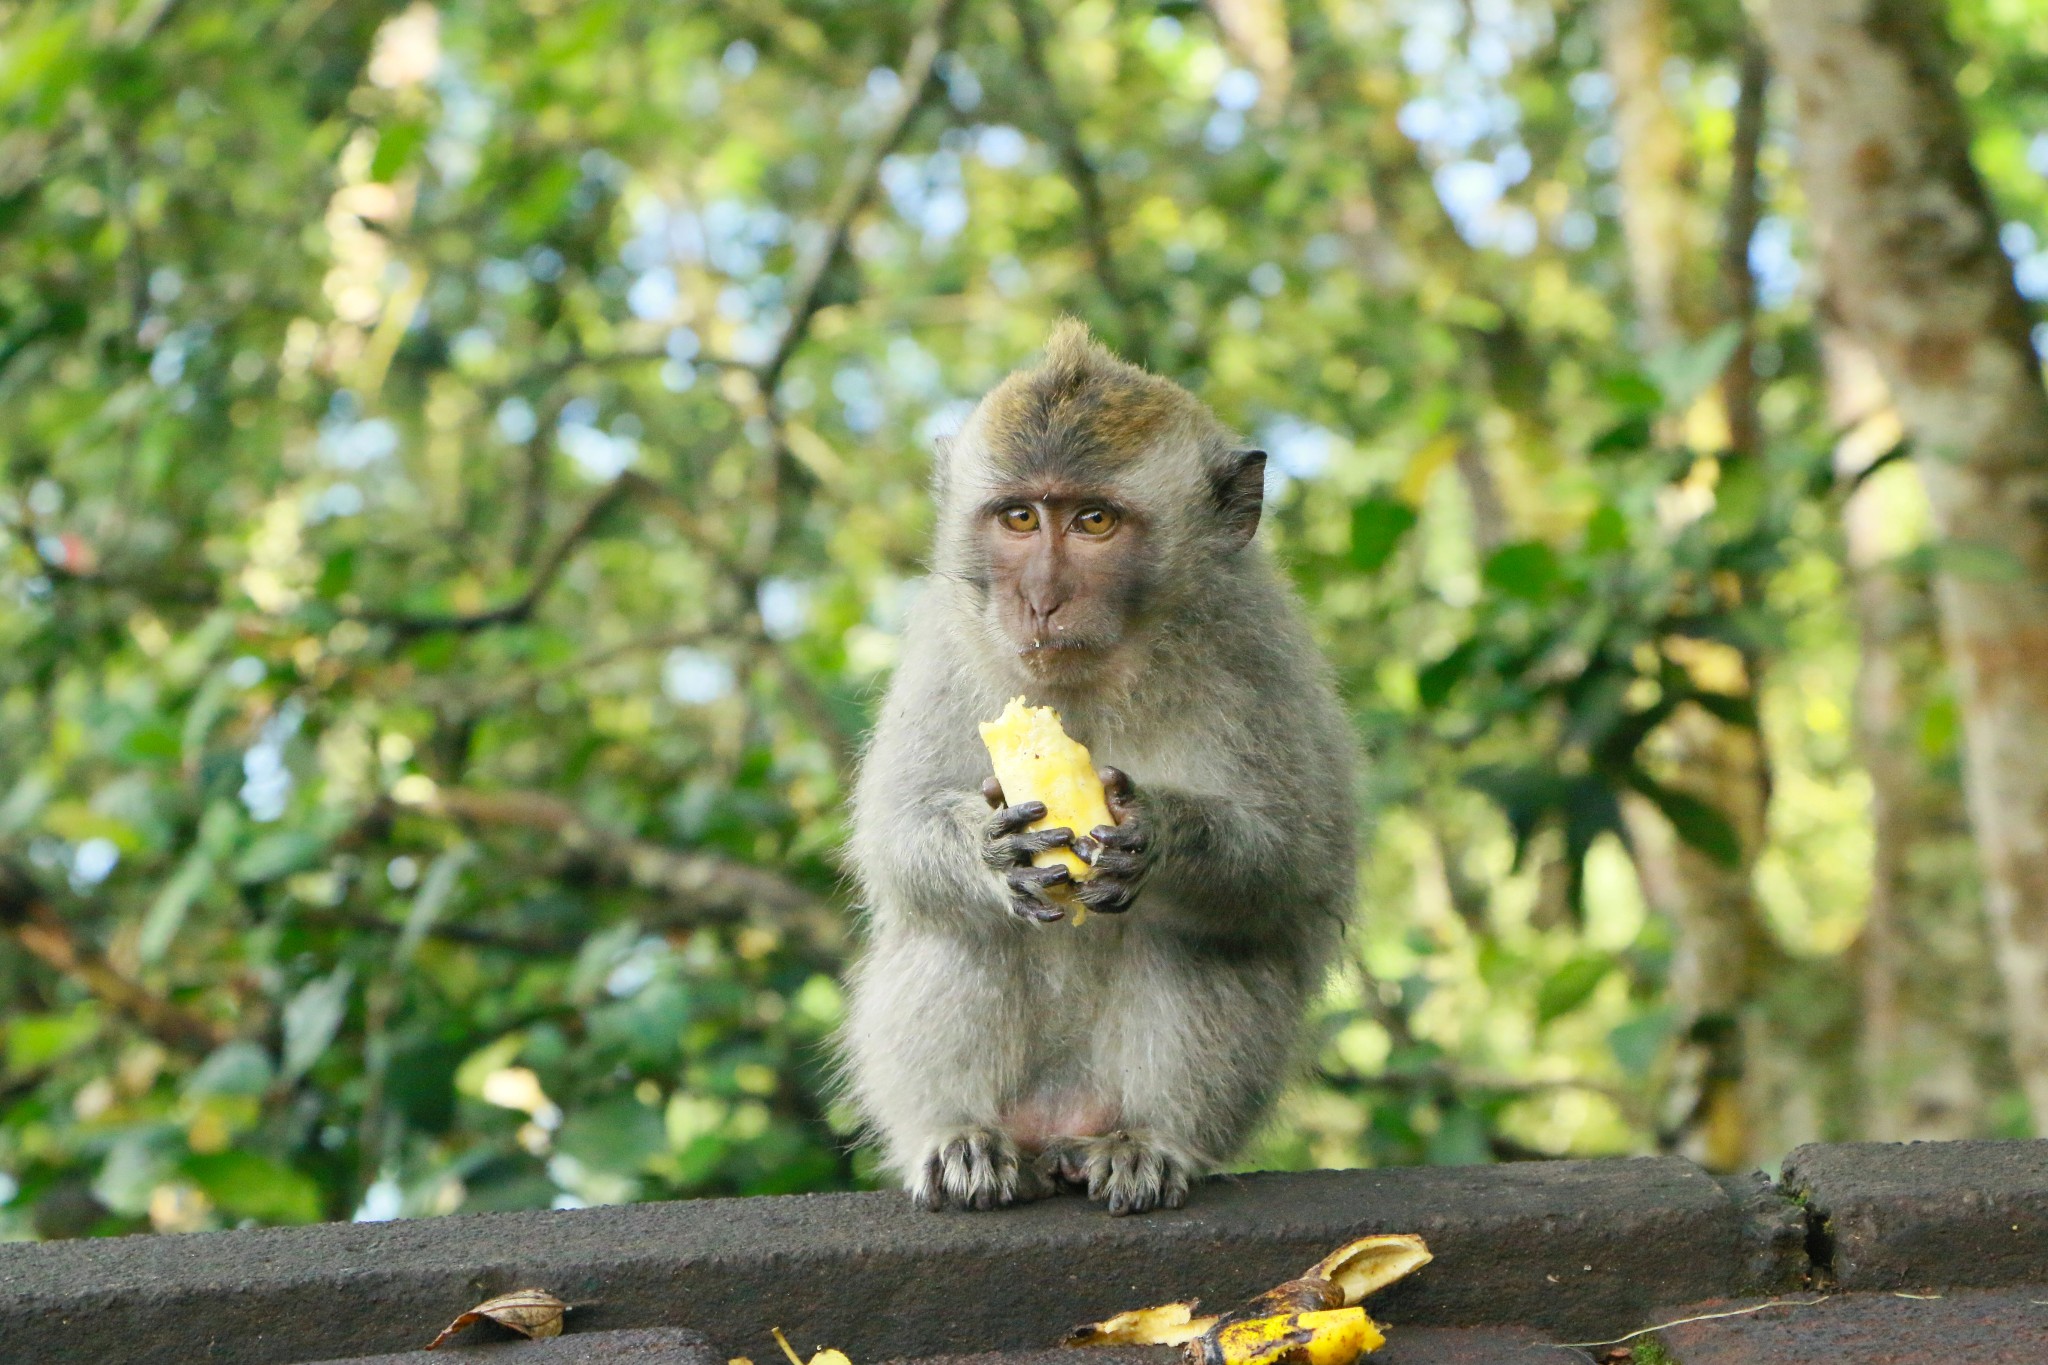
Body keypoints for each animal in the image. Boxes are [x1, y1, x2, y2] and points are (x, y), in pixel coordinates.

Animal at [839, 321, 1351, 1219]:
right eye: (1019, 517)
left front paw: (1157, 832)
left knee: (1191, 938)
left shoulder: (1256, 650)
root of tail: (1059, 1124)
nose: (1039, 598)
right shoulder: (945, 639)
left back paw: (1145, 1142)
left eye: (1094, 521)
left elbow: (1293, 858)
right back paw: (967, 1140)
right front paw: (990, 849)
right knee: (962, 928)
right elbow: (894, 833)